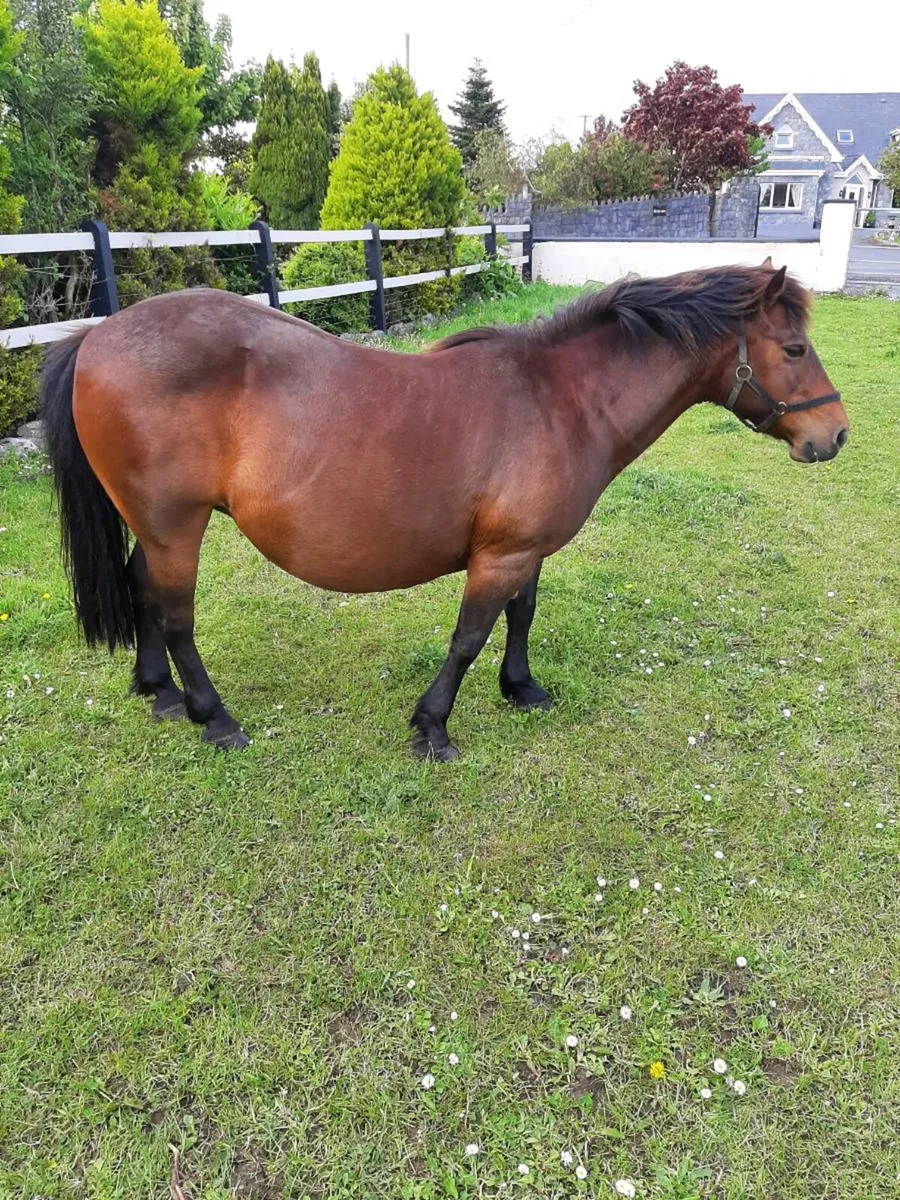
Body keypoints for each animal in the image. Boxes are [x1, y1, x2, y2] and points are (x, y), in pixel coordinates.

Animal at [41, 263, 848, 759]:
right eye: (794, 348)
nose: (835, 435)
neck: (561, 400)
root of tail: (96, 335)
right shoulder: (499, 557)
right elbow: (468, 638)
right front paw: (432, 727)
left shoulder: (522, 550)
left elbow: (520, 617)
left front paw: (521, 688)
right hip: (177, 527)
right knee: (175, 614)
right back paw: (213, 717)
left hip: (157, 526)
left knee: (141, 588)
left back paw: (159, 692)